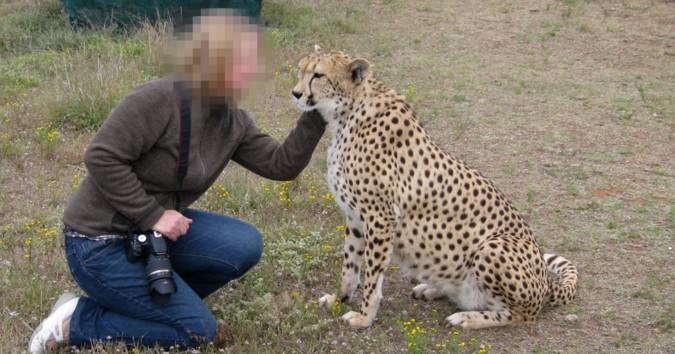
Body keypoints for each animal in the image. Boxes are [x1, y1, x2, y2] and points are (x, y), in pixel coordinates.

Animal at [290, 46, 576, 330]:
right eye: (300, 69)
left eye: (318, 75)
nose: (296, 93)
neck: (348, 113)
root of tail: (546, 282)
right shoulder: (355, 216)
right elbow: (350, 265)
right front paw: (340, 299)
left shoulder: (380, 218)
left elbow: (371, 275)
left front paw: (364, 316)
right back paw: (432, 289)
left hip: (493, 247)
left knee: (521, 315)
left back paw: (467, 318)